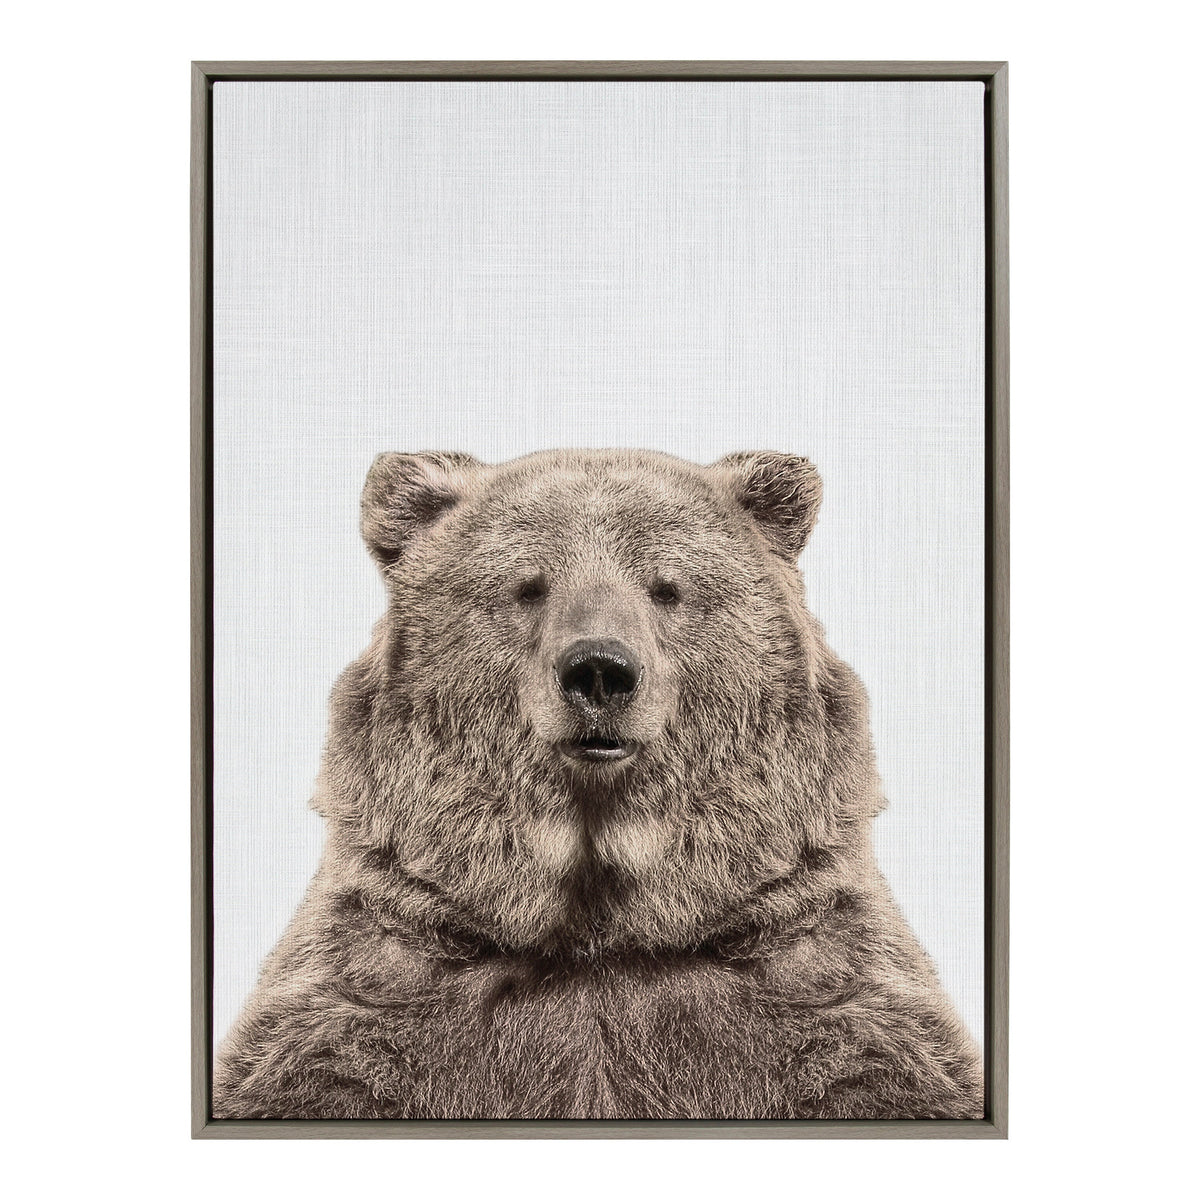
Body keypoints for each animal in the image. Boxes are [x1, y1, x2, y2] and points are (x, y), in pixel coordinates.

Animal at [213, 447, 984, 1121]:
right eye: (528, 586)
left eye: (666, 587)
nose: (599, 671)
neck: (600, 927)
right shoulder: (378, 981)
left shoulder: (816, 978)